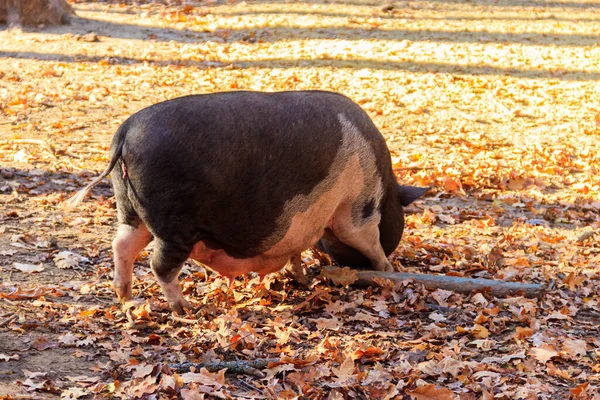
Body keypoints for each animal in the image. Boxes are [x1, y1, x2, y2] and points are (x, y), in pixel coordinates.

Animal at [68, 90, 428, 312]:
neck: (385, 188)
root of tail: (126, 131)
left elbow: (296, 254)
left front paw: (303, 278)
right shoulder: (356, 211)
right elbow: (369, 241)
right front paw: (388, 270)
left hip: (131, 210)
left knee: (122, 245)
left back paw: (127, 300)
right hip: (174, 223)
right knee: (160, 264)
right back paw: (184, 309)